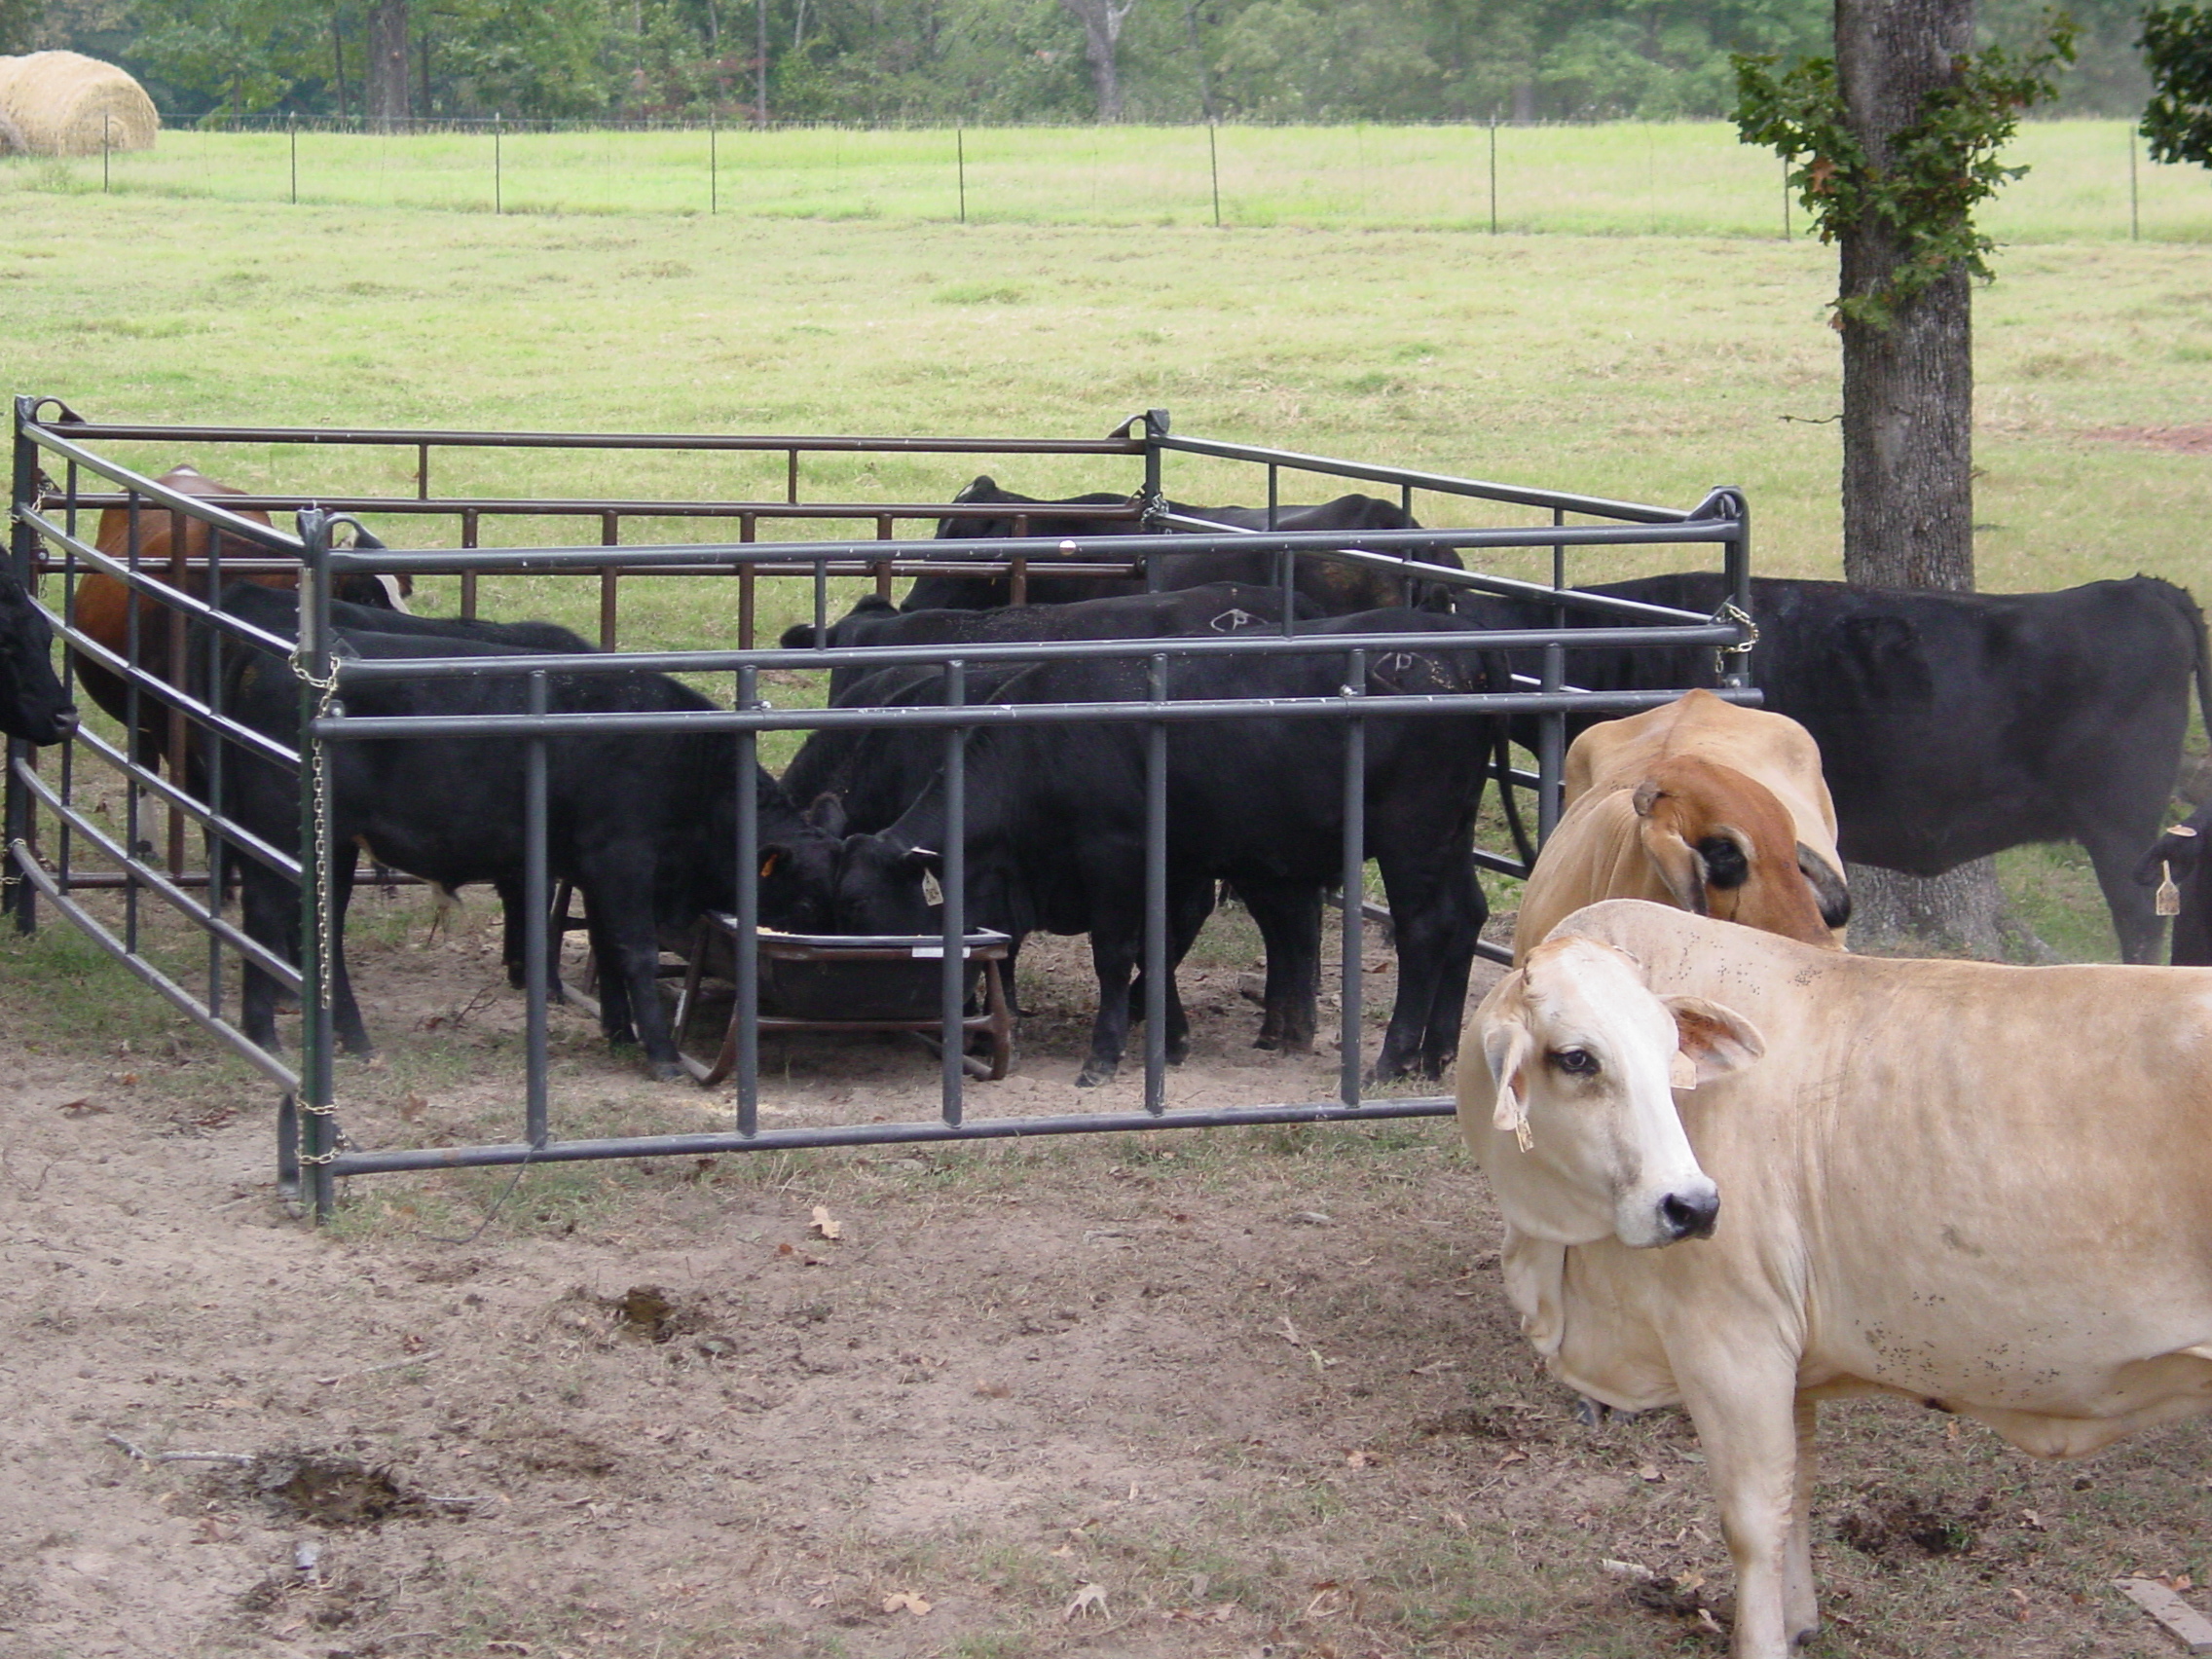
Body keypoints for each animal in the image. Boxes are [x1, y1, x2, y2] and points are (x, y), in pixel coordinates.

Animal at [1459, 897, 2212, 1658]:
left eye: (1670, 1048)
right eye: (1576, 1058)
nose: (1692, 1205)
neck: (1553, 1253)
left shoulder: (1734, 1344)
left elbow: (1753, 1520)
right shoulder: (1790, 1363)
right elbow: (1797, 1493)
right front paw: (1798, 1621)